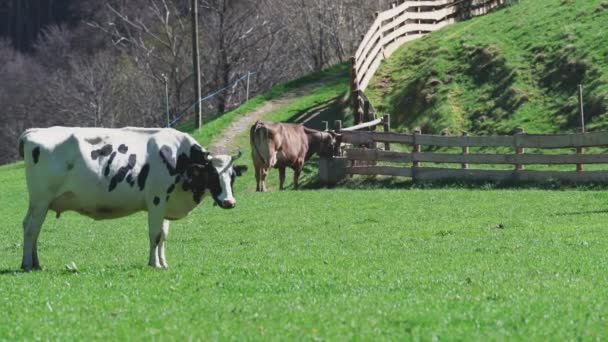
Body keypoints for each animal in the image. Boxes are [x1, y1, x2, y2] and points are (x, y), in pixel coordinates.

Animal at [19, 127, 247, 272]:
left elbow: (163, 236)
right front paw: (154, 264)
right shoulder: (156, 200)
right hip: (41, 200)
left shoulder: (166, 205)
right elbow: (155, 235)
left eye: (232, 176)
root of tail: (33, 132)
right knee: (31, 229)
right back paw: (28, 264)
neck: (177, 157)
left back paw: (36, 263)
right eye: (212, 175)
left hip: (39, 203)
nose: (229, 202)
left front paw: (163, 263)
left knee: (30, 227)